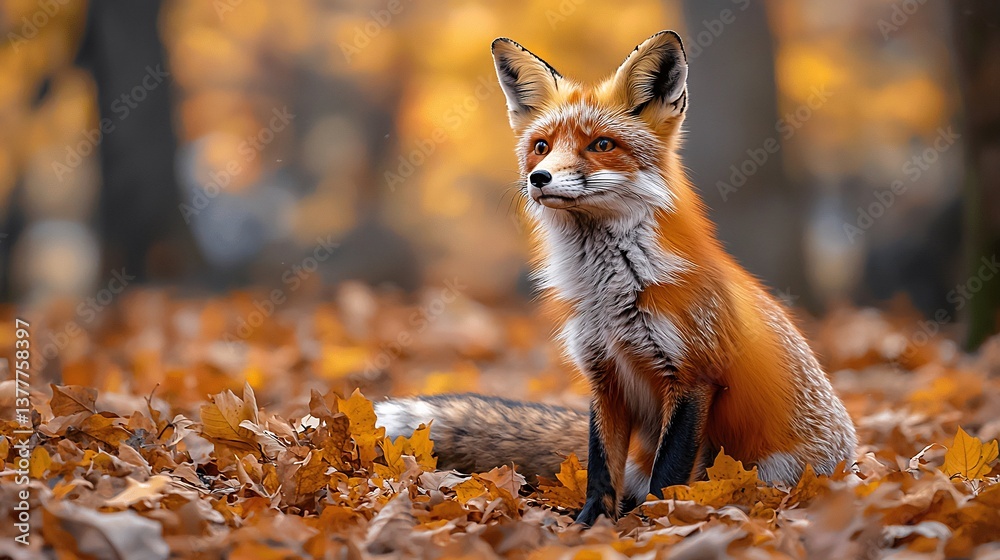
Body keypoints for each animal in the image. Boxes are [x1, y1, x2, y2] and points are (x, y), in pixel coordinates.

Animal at [376, 31, 857, 525]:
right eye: (542, 146)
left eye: (602, 145)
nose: (538, 178)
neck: (609, 293)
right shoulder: (603, 375)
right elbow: (600, 467)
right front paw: (590, 526)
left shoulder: (693, 376)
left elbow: (670, 473)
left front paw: (658, 523)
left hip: (774, 470)